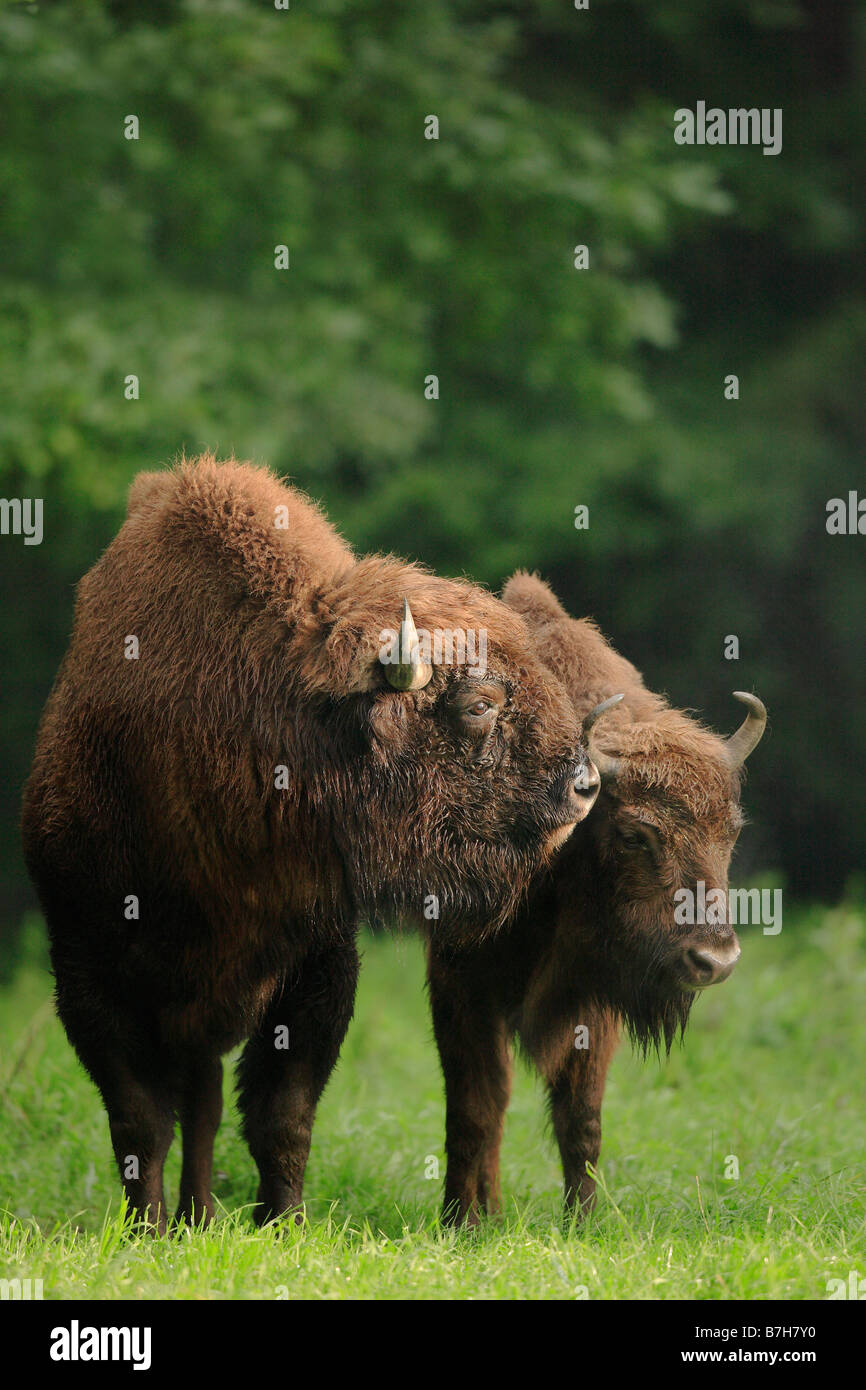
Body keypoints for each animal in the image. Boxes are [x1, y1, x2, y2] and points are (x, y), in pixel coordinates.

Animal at [22, 461, 603, 1234]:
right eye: (479, 704)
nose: (585, 784)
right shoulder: (88, 975)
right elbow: (140, 1123)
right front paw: (143, 1231)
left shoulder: (317, 964)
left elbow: (282, 1115)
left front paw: (284, 1224)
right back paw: (186, 1220)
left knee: (206, 1103)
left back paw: (201, 1215)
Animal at [428, 569, 767, 1223]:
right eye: (635, 834)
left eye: (732, 830)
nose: (714, 961)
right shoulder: (462, 988)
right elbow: (475, 1111)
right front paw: (462, 1223)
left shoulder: (595, 1001)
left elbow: (580, 1118)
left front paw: (582, 1224)